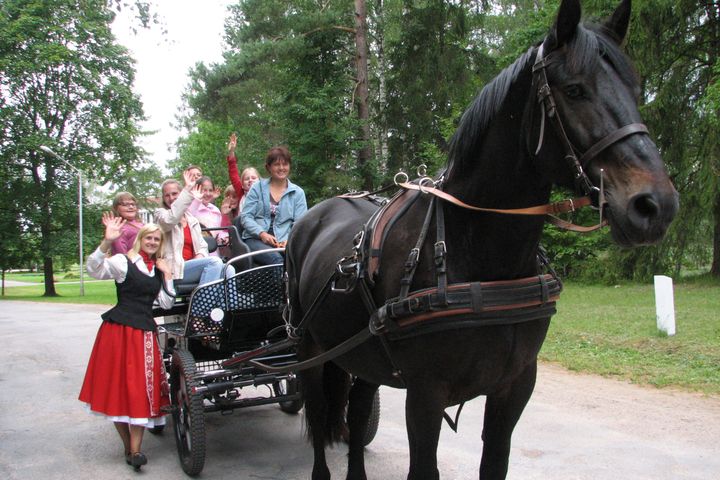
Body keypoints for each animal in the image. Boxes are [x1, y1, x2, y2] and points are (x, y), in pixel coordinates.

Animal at [285, 0, 679, 478]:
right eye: (574, 90)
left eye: (636, 89)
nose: (655, 205)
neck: (479, 253)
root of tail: (313, 218)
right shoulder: (425, 395)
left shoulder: (515, 386)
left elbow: (495, 461)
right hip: (309, 349)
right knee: (321, 415)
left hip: (362, 356)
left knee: (358, 415)